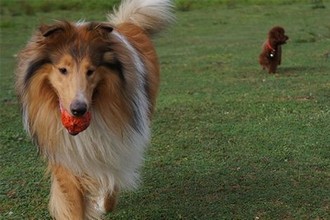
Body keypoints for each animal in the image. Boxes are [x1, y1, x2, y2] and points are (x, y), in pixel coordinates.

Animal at [15, 0, 174, 219]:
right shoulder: (65, 153)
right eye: (63, 69)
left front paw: (103, 203)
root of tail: (128, 24)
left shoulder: (116, 145)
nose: (78, 110)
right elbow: (73, 202)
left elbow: (111, 182)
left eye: (91, 71)